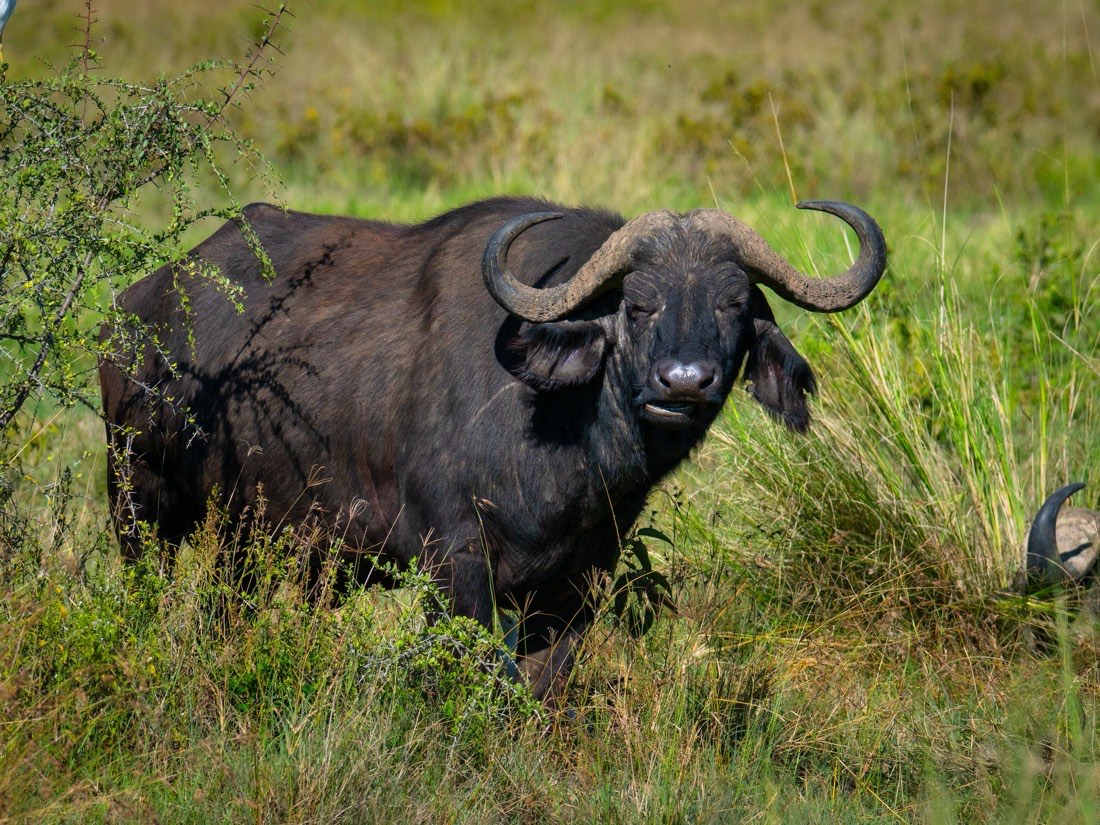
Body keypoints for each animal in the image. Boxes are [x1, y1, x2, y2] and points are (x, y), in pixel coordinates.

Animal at [99, 195, 886, 701]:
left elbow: (541, 685)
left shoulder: (579, 582)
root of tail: (141, 304)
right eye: (637, 305)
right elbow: (476, 670)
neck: (560, 434)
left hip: (246, 538)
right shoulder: (455, 564)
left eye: (733, 304)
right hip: (138, 499)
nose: (684, 383)